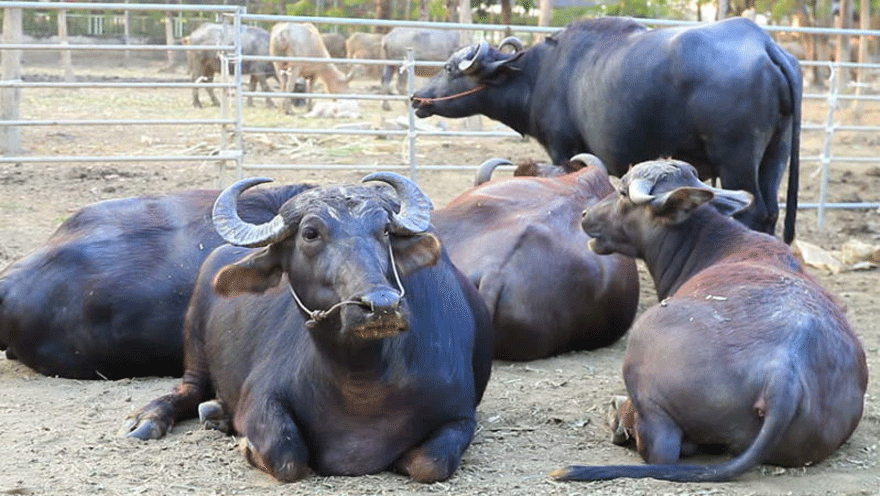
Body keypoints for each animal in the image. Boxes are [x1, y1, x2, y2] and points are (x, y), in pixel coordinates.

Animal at [122, 172, 496, 482]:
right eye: (310, 233)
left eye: (385, 231)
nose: (382, 305)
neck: (363, 382)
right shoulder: (262, 396)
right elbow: (287, 455)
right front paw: (247, 445)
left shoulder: (461, 415)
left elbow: (430, 463)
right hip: (195, 344)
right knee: (188, 389)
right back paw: (152, 419)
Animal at [412, 17, 804, 244]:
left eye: (450, 68)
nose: (417, 97)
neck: (538, 75)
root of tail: (763, 43)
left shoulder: (563, 147)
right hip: (776, 153)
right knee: (770, 211)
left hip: (737, 158)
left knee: (753, 209)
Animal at [552, 158, 868, 480]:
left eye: (623, 192)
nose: (586, 214)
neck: (717, 246)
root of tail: (783, 377)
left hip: (646, 373)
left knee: (661, 449)